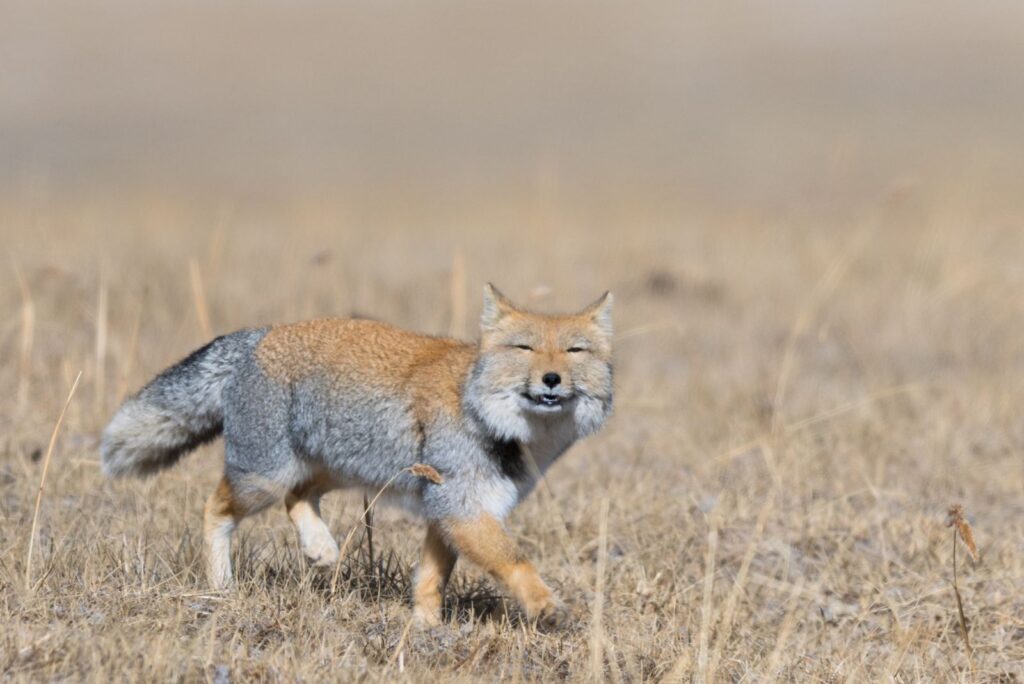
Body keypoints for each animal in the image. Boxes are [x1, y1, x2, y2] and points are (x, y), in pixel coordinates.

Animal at [101, 282, 614, 626]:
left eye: (575, 351)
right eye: (523, 347)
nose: (551, 379)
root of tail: (262, 333)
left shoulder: (447, 511)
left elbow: (431, 580)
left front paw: (425, 631)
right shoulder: (461, 507)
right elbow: (515, 561)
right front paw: (547, 607)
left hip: (340, 470)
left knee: (298, 497)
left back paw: (320, 547)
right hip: (262, 479)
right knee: (215, 508)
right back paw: (221, 587)